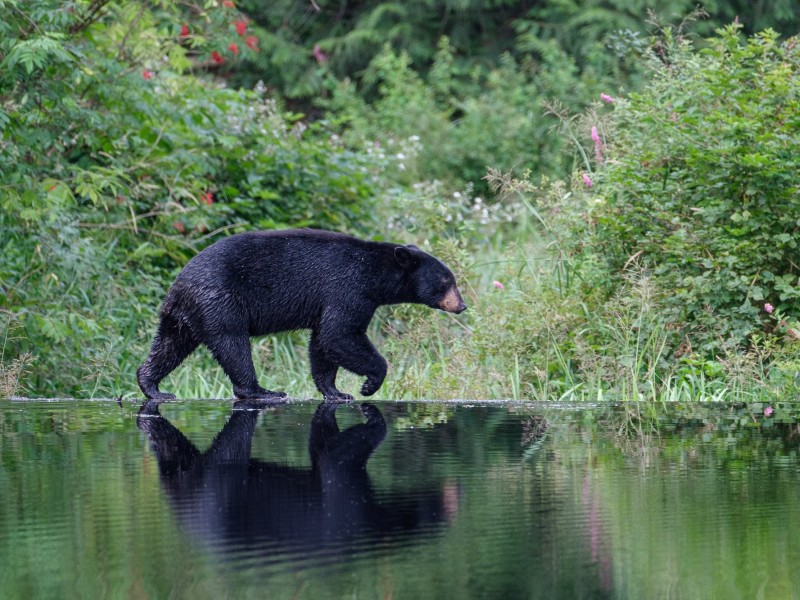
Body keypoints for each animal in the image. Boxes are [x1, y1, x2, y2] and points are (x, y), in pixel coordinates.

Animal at [137, 228, 466, 402]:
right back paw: (261, 391)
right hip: (220, 301)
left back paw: (153, 387)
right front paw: (368, 384)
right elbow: (340, 334)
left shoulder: (333, 300)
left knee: (170, 345)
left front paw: (336, 391)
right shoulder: (348, 289)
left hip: (185, 314)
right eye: (447, 281)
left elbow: (323, 341)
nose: (461, 305)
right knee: (233, 344)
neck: (375, 273)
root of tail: (180, 282)